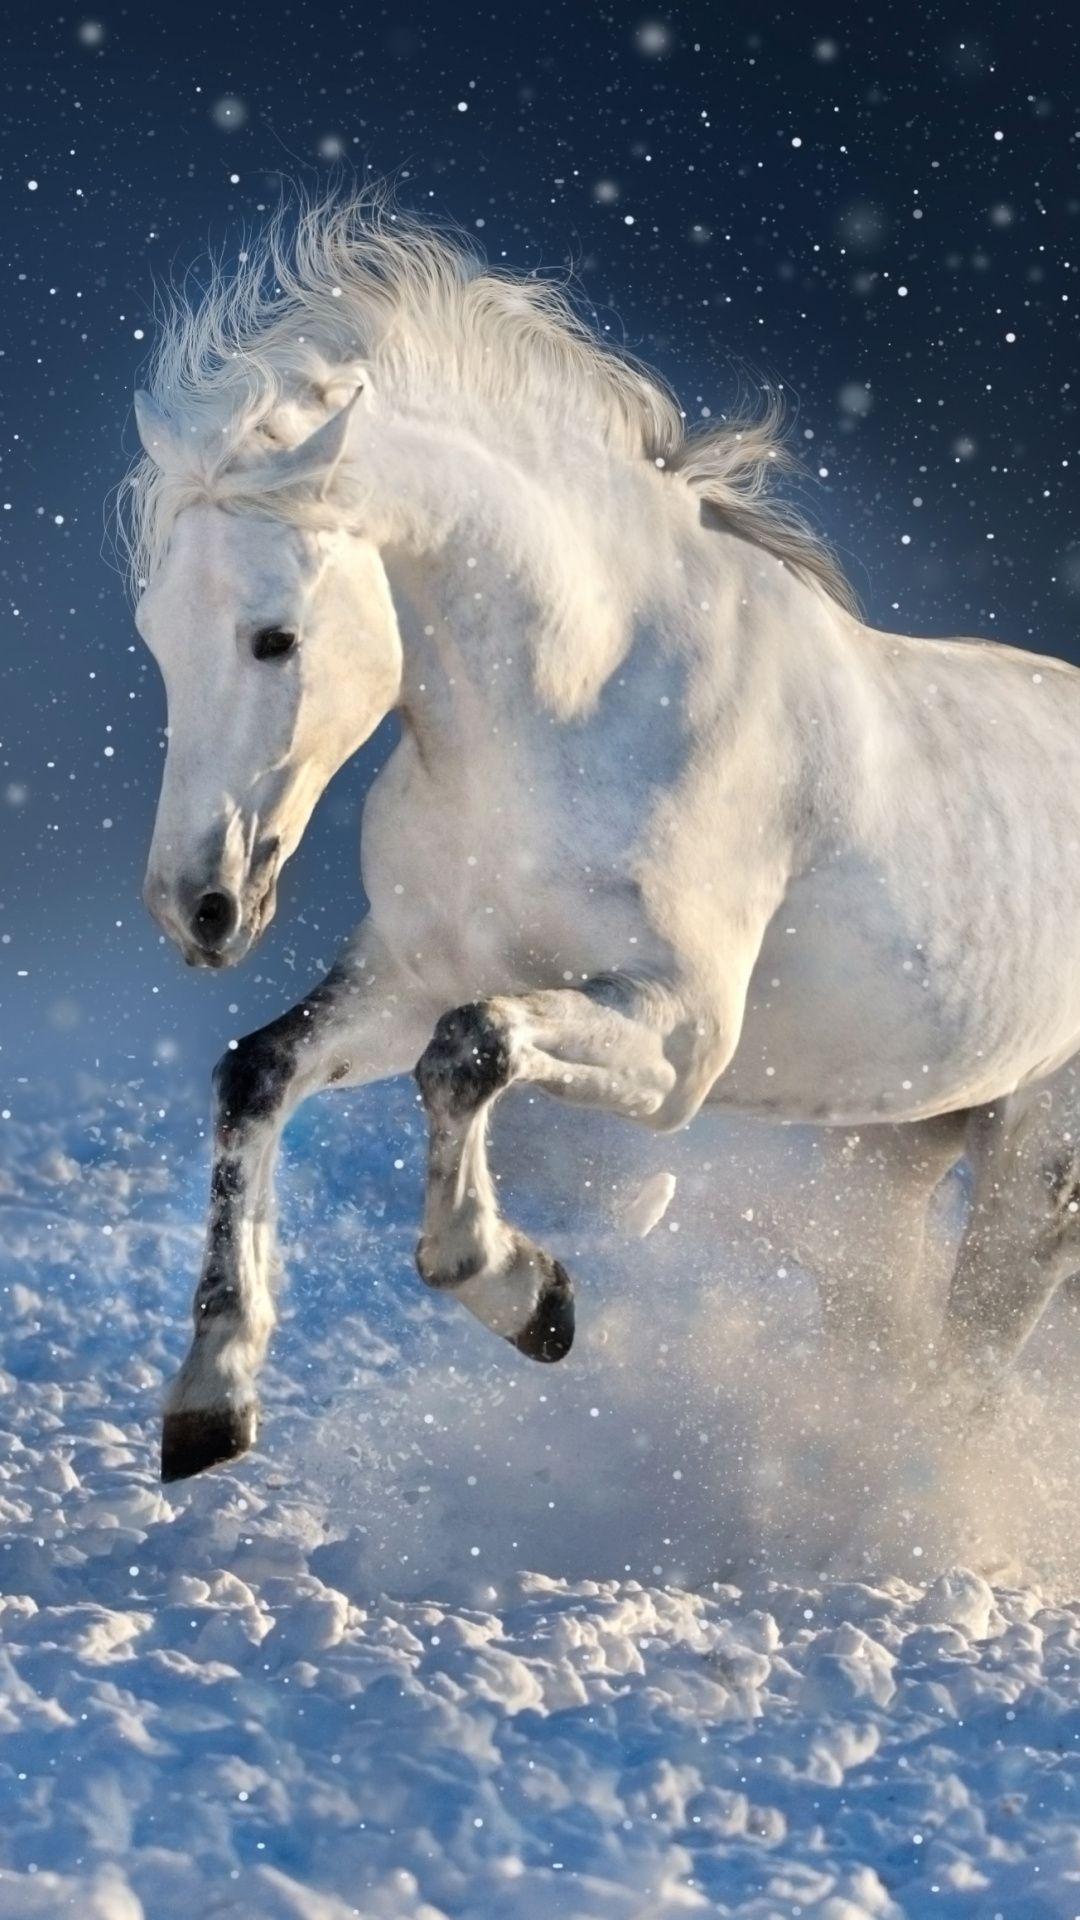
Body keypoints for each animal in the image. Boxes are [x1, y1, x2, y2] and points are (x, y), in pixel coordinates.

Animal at [119, 192, 1080, 1484]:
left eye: (274, 638)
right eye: (157, 633)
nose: (198, 905)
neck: (580, 708)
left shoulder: (681, 1040)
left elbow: (470, 1053)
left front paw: (526, 1293)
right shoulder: (410, 977)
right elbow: (260, 1073)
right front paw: (212, 1394)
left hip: (1036, 1166)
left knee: (967, 1365)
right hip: (896, 1149)